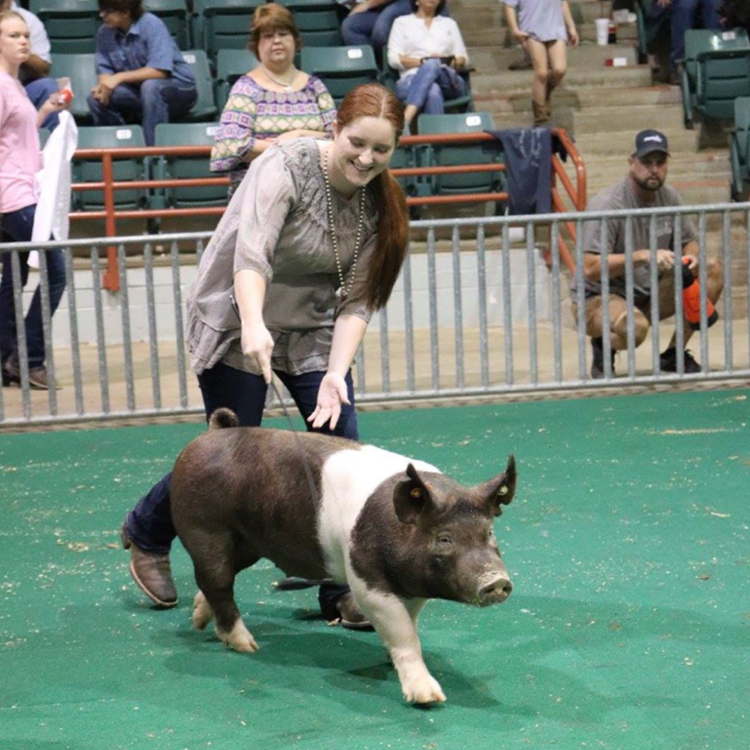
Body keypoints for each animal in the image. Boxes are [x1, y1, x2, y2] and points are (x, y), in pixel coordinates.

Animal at [170, 412, 516, 704]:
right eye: (444, 538)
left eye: (489, 533)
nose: (497, 580)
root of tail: (210, 434)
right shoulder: (366, 579)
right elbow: (403, 631)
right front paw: (429, 698)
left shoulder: (412, 584)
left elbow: (409, 623)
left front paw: (390, 660)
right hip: (205, 528)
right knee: (217, 581)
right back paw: (247, 645)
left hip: (247, 543)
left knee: (217, 580)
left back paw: (200, 620)